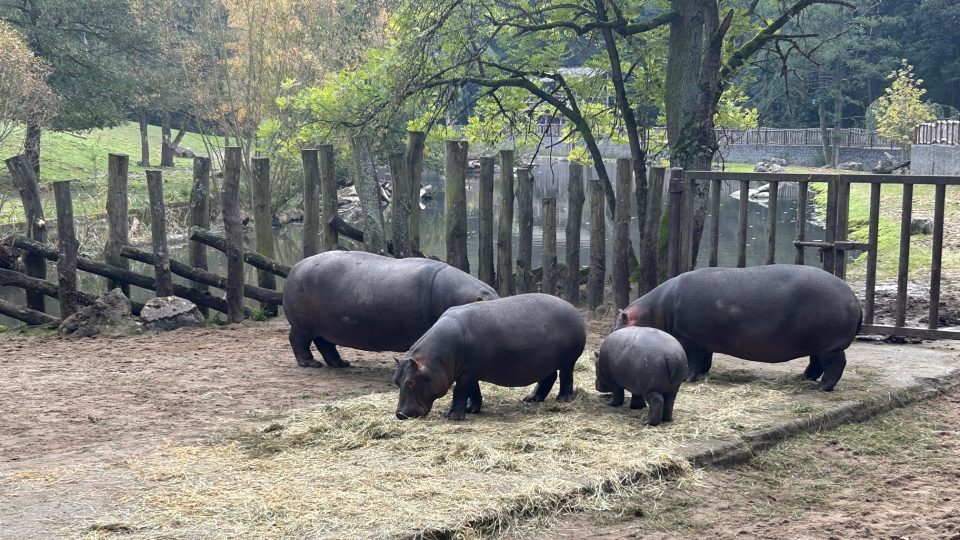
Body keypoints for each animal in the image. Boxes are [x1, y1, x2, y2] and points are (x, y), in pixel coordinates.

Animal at [282, 251, 498, 370]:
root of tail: (295, 267)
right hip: (303, 326)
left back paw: (341, 363)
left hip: (323, 327)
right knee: (298, 341)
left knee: (325, 344)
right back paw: (310, 364)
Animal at [394, 294, 588, 420]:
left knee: (566, 377)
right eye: (396, 381)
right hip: (545, 361)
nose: (400, 414)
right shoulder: (469, 371)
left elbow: (460, 391)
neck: (435, 359)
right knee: (549, 377)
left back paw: (563, 400)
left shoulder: (467, 372)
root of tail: (574, 309)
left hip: (567, 361)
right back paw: (531, 399)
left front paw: (451, 416)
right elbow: (473, 391)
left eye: (410, 382)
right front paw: (471, 409)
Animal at [620, 266, 868, 392]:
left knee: (835, 365)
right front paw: (703, 373)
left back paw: (822, 388)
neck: (656, 309)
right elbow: (704, 359)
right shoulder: (703, 340)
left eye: (622, 321)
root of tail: (853, 296)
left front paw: (688, 378)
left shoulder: (687, 337)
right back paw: (803, 378)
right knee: (815, 363)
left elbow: (693, 360)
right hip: (817, 343)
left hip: (830, 346)